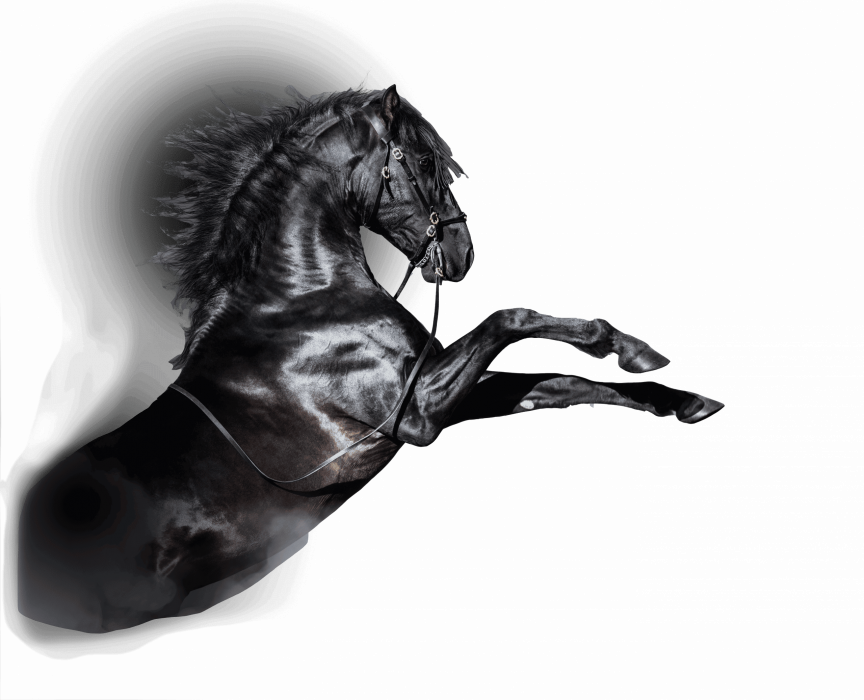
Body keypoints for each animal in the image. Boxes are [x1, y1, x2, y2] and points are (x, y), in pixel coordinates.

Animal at [17, 84, 724, 634]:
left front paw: (680, 394)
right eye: (424, 160)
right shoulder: (415, 413)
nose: (462, 254)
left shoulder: (445, 392)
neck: (299, 298)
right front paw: (627, 348)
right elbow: (513, 318)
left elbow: (559, 382)